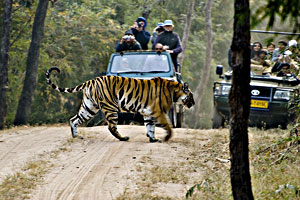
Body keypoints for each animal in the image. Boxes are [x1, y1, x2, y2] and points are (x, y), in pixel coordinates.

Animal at [44, 67, 195, 142]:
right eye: (191, 96)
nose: (193, 103)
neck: (174, 91)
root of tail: (91, 81)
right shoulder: (158, 111)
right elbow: (167, 126)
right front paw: (167, 137)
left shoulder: (148, 112)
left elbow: (150, 127)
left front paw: (153, 139)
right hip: (110, 107)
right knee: (111, 126)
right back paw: (123, 138)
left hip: (89, 107)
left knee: (74, 119)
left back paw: (77, 137)